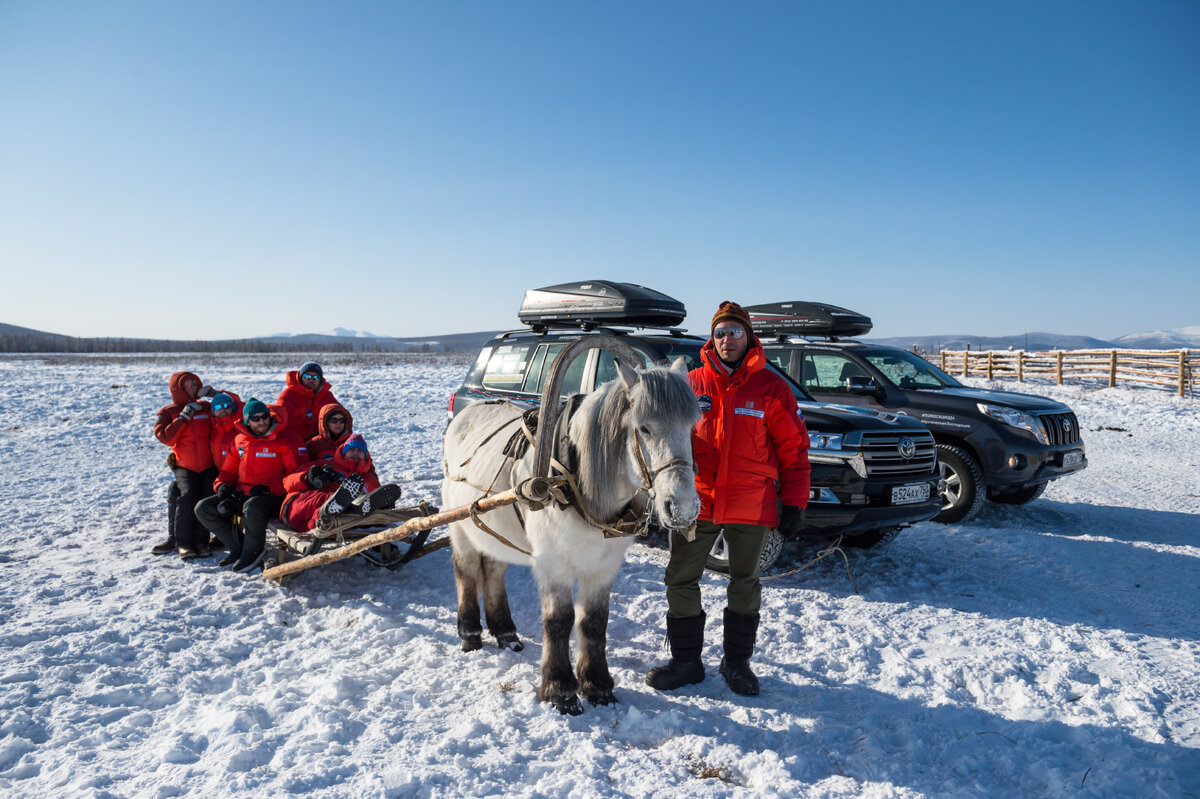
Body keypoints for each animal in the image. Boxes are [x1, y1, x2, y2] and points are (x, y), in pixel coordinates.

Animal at [446, 357, 700, 710]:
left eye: (691, 427)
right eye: (645, 428)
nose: (684, 508)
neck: (575, 483)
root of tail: (470, 410)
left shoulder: (605, 566)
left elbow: (593, 621)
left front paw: (597, 685)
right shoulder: (553, 564)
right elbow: (559, 620)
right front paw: (561, 689)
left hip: (498, 532)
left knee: (494, 570)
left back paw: (505, 632)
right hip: (460, 528)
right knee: (467, 572)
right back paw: (469, 633)